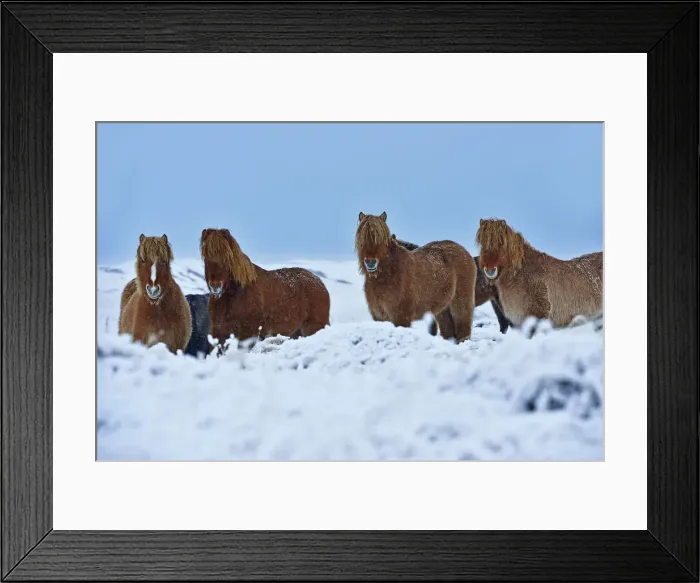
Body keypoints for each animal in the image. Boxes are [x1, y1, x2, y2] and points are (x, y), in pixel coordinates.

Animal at [200, 228, 331, 347]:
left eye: (227, 259)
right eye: (205, 258)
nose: (216, 286)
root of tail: (320, 283)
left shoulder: (247, 336)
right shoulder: (220, 335)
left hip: (313, 328)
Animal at [356, 212, 477, 342]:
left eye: (381, 239)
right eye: (361, 238)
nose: (370, 263)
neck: (389, 274)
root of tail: (465, 252)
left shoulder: (401, 318)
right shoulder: (379, 317)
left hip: (460, 303)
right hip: (443, 310)